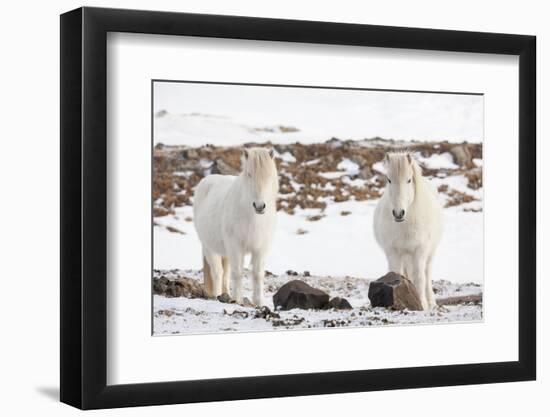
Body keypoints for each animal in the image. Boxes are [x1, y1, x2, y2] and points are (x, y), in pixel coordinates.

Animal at [194, 148, 280, 304]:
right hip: (209, 247)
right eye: (249, 174)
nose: (259, 206)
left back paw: (226, 295)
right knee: (218, 272)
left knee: (225, 274)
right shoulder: (235, 246)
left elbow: (258, 274)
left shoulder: (261, 247)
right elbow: (238, 273)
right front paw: (238, 300)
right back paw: (217, 296)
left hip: (225, 252)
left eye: (269, 175)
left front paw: (258, 302)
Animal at [374, 151, 446, 308]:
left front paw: (423, 305)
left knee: (427, 274)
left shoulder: (420, 251)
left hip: (429, 254)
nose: (398, 213)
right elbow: (394, 275)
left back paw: (431, 302)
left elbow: (420, 278)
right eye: (389, 180)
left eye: (408, 180)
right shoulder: (393, 252)